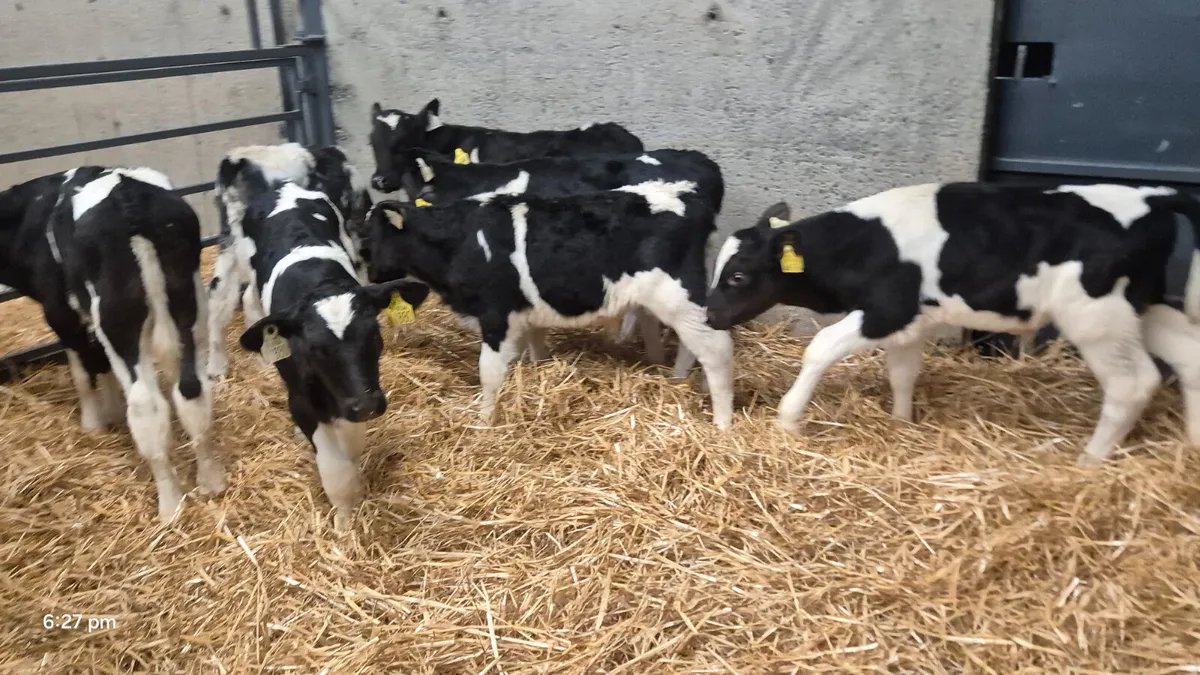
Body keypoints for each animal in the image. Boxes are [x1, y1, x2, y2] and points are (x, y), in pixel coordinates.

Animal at [0, 167, 224, 523]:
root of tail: (128, 194)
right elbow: (101, 364)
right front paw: (112, 410)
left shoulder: (60, 312)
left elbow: (83, 370)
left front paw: (93, 422)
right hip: (189, 306)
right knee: (191, 391)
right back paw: (211, 481)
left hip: (118, 320)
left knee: (147, 405)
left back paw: (169, 506)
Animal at [363, 179, 735, 429]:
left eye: (367, 241)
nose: (370, 277)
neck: (459, 240)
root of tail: (686, 194)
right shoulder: (524, 311)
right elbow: (536, 351)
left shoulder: (496, 314)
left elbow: (489, 373)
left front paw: (484, 422)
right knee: (684, 343)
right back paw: (676, 379)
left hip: (678, 295)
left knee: (716, 349)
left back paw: (722, 422)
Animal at [705, 182, 1200, 467]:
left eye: (738, 276)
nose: (710, 315)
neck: (866, 245)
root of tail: (1152, 195)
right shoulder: (911, 319)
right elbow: (902, 372)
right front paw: (902, 423)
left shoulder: (888, 309)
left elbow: (821, 347)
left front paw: (788, 419)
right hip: (1143, 304)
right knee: (1189, 356)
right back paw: (1192, 448)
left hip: (1096, 315)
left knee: (1132, 383)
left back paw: (1091, 461)